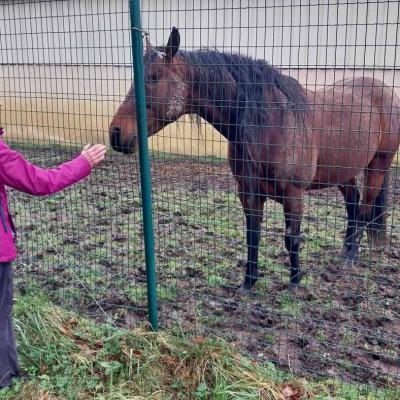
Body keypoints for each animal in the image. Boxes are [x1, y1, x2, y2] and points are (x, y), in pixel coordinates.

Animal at [109, 28, 400, 290]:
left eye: (153, 77)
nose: (116, 133)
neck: (269, 122)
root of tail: (385, 90)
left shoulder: (294, 194)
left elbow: (291, 239)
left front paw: (295, 283)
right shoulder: (249, 192)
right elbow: (252, 235)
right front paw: (249, 282)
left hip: (378, 166)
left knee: (364, 209)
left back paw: (351, 258)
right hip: (344, 171)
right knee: (353, 204)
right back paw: (345, 251)